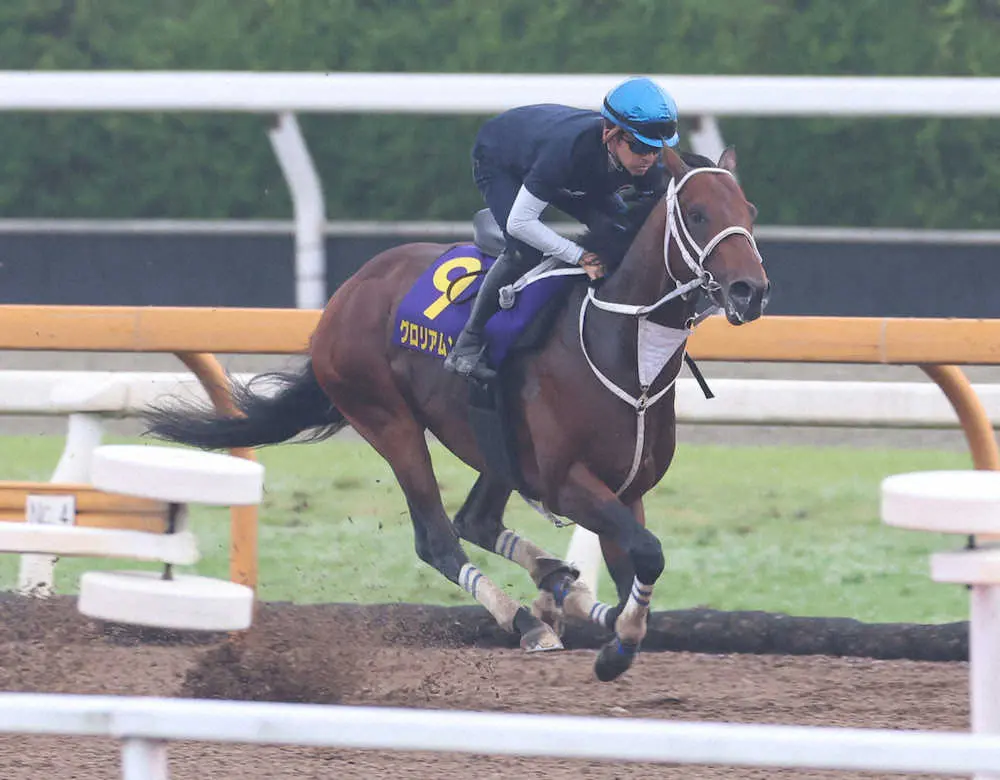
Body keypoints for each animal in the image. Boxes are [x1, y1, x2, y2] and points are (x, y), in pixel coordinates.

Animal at [143, 148, 764, 684]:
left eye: (750, 213)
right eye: (699, 214)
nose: (749, 291)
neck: (623, 350)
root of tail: (346, 294)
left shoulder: (625, 489)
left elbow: (637, 561)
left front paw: (609, 624)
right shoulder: (568, 483)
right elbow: (647, 551)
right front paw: (611, 641)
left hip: (495, 444)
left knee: (477, 520)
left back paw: (556, 585)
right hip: (388, 420)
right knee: (439, 537)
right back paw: (528, 619)